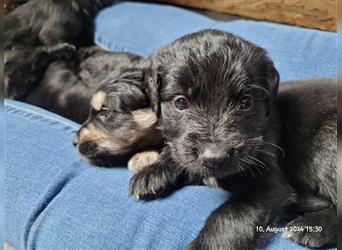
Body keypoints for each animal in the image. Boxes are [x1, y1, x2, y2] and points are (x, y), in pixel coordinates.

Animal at [126, 29, 336, 250]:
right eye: (180, 102)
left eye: (246, 102)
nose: (215, 158)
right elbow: (177, 152)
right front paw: (154, 171)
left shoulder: (268, 185)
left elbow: (229, 217)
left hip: (326, 140)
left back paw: (315, 226)